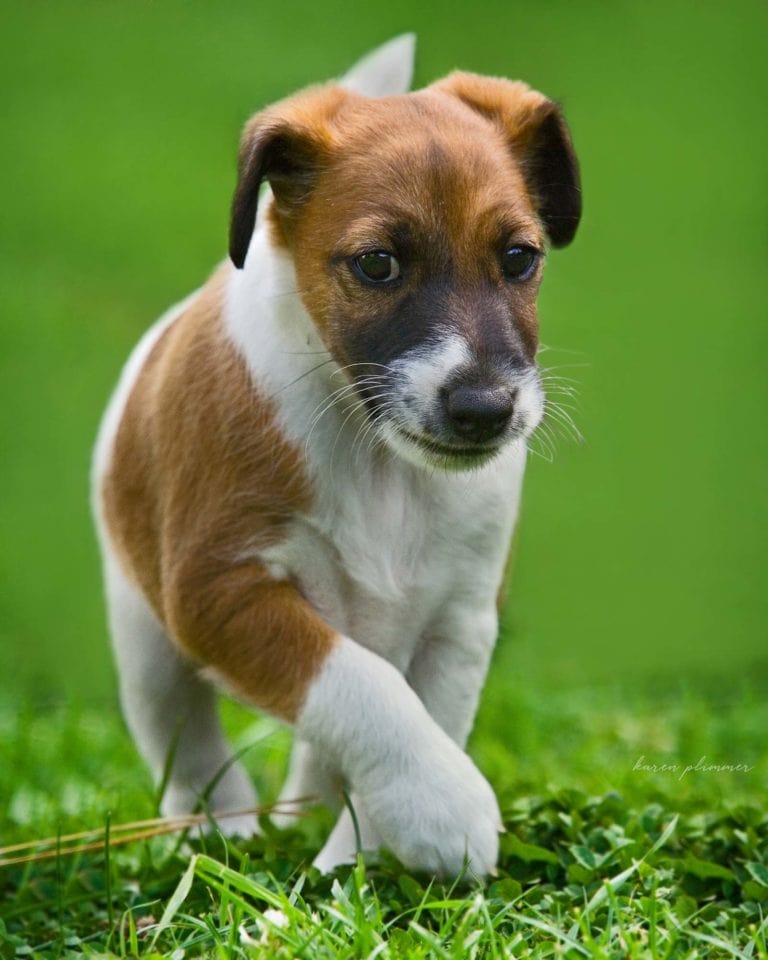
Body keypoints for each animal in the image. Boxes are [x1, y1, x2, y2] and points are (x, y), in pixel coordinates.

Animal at [93, 37, 580, 876]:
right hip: (147, 643)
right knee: (189, 749)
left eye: (520, 258)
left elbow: (412, 712)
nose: (485, 409)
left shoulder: (458, 621)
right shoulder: (222, 593)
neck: (374, 454)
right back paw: (220, 835)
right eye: (377, 265)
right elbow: (360, 685)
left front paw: (365, 858)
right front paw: (441, 804)